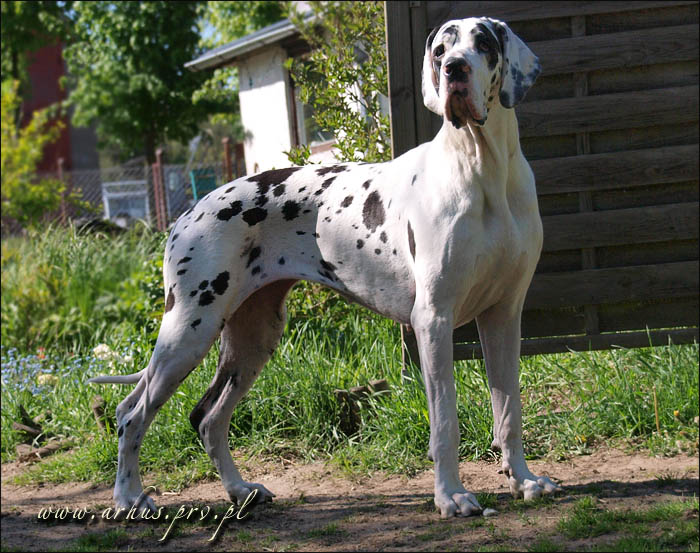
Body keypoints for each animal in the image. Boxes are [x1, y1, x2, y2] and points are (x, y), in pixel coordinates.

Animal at [90, 16, 559, 518]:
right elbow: (445, 422)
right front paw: (451, 495)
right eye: (440, 50)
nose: (454, 69)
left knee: (208, 418)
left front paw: (524, 480)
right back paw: (129, 497)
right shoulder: (432, 320)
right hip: (189, 330)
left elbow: (509, 411)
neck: (482, 167)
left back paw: (239, 489)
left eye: (484, 43)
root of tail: (187, 212)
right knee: (131, 413)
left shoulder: (504, 316)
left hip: (253, 338)